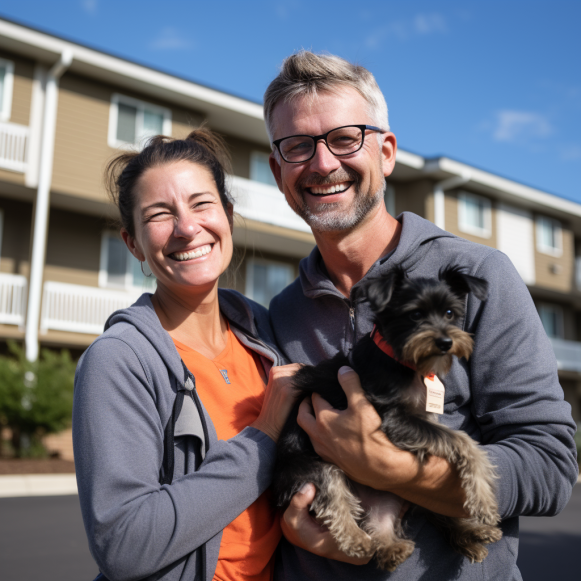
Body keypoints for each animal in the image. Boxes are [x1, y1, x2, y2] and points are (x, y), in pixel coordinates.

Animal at [274, 266, 500, 568]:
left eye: (450, 313)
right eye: (414, 315)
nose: (445, 342)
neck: (403, 361)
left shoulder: (422, 418)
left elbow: (452, 440)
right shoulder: (394, 419)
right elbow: (464, 441)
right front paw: (484, 501)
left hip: (405, 493)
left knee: (401, 520)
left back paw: (462, 535)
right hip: (311, 469)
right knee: (334, 499)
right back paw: (358, 540)